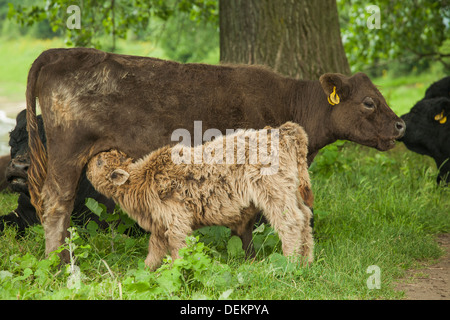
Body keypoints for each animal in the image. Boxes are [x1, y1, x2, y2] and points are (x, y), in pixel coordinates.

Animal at [24, 48, 404, 262]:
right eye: (368, 102)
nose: (401, 125)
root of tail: (59, 52)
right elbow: (250, 220)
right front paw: (250, 259)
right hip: (67, 153)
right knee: (55, 203)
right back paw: (58, 265)